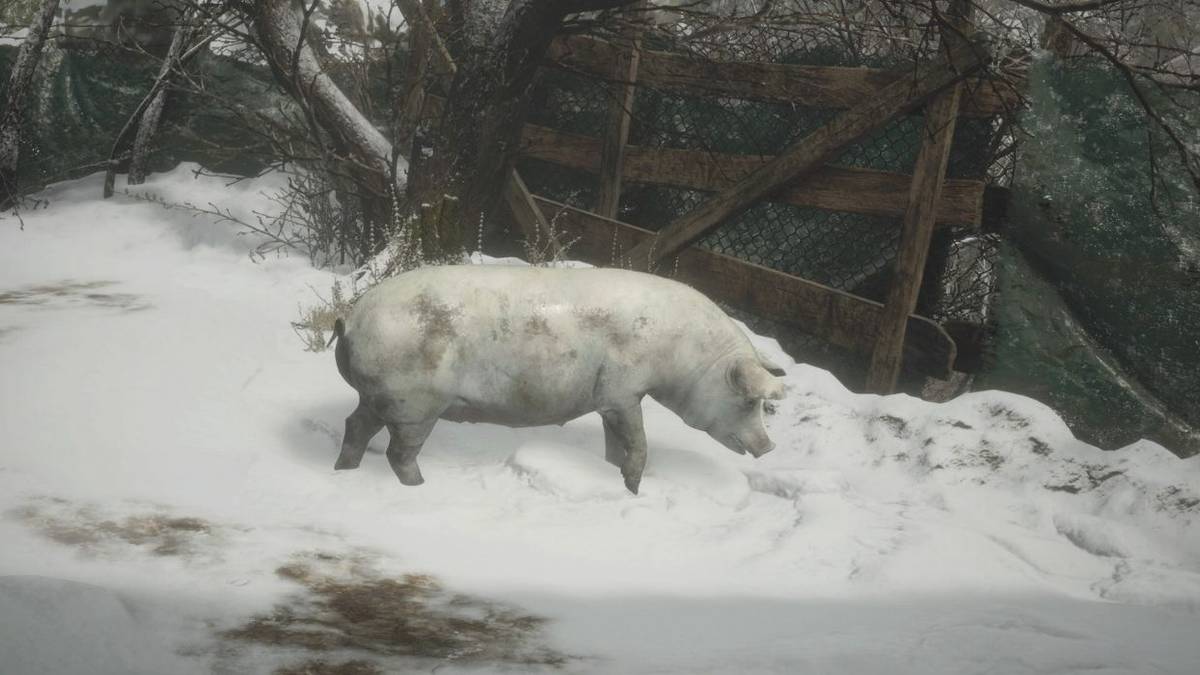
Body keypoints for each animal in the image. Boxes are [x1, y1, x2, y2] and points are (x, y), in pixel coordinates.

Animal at [331, 265, 786, 494]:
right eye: (750, 400)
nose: (769, 447)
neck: (683, 353)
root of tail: (351, 319)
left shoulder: (608, 400)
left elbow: (615, 446)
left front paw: (615, 477)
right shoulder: (623, 390)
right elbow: (638, 444)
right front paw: (634, 489)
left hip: (380, 396)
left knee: (355, 425)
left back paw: (344, 472)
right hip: (415, 404)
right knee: (398, 453)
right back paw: (421, 489)